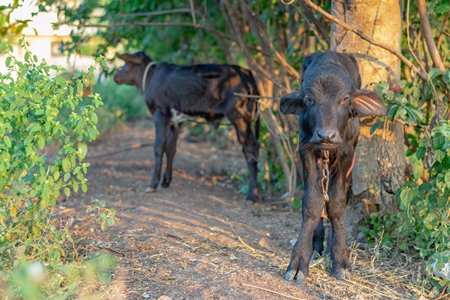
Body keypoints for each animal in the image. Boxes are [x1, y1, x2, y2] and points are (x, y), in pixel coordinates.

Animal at [112, 52, 260, 202]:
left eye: (127, 64)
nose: (115, 75)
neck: (149, 79)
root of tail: (248, 74)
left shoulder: (161, 113)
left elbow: (158, 147)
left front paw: (153, 184)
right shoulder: (176, 120)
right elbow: (170, 148)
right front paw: (166, 181)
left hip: (238, 115)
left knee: (250, 148)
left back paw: (252, 194)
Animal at [280, 50, 384, 282]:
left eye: (344, 99)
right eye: (309, 99)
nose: (326, 135)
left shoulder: (347, 153)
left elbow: (336, 205)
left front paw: (341, 261)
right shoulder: (306, 150)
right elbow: (312, 203)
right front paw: (299, 262)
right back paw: (318, 244)